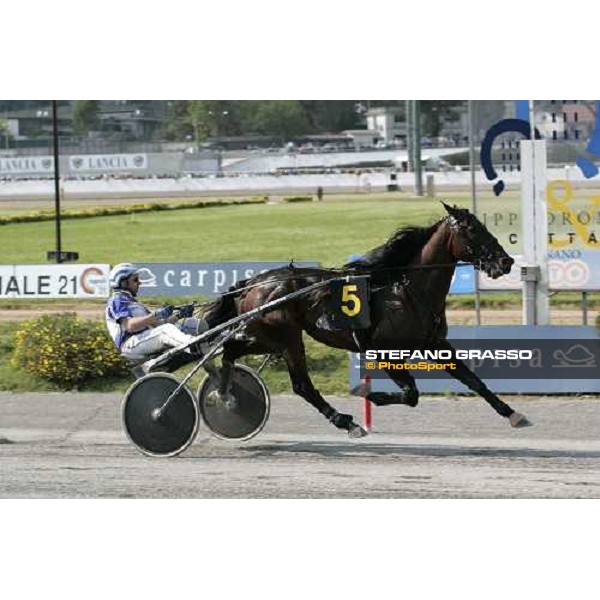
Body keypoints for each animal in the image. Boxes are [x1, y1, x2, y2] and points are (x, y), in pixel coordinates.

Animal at [205, 202, 528, 436]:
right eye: (472, 231)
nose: (506, 261)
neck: (407, 290)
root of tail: (253, 283)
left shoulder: (435, 344)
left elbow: (474, 380)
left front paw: (514, 414)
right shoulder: (384, 351)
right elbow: (411, 394)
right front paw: (368, 393)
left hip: (270, 339)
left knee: (232, 352)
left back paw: (226, 392)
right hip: (284, 338)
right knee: (298, 384)